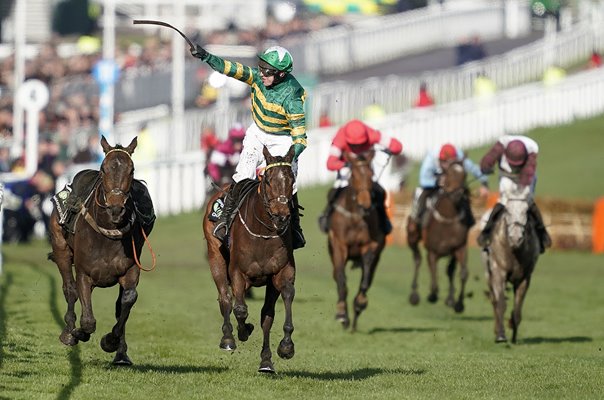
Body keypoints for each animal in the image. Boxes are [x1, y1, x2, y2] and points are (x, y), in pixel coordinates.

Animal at [48, 137, 155, 366]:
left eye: (131, 170)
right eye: (104, 169)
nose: (116, 208)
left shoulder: (130, 270)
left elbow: (127, 300)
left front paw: (112, 342)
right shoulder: (84, 273)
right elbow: (87, 320)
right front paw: (78, 332)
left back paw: (121, 354)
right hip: (61, 248)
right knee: (69, 289)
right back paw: (68, 332)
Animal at [203, 145, 298, 374]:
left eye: (291, 180)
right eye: (268, 180)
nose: (282, 216)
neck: (263, 232)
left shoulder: (281, 272)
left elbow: (280, 303)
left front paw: (284, 347)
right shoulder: (238, 272)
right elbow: (239, 309)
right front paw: (243, 331)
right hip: (215, 257)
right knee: (225, 297)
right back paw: (228, 337)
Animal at [326, 149, 386, 332]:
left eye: (371, 174)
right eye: (353, 175)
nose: (365, 204)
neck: (355, 216)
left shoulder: (370, 246)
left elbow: (365, 282)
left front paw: (359, 304)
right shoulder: (339, 245)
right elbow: (341, 279)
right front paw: (342, 314)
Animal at [406, 161, 472, 314]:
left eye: (464, 174)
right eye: (448, 173)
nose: (458, 194)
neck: (448, 218)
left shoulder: (459, 248)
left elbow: (463, 273)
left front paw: (459, 304)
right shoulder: (433, 252)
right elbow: (433, 272)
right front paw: (432, 295)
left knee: (450, 270)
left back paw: (450, 298)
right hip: (412, 235)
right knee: (417, 260)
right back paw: (414, 295)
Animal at [484, 184, 540, 344]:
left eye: (526, 211)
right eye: (508, 211)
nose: (516, 238)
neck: (514, 250)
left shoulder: (524, 278)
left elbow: (517, 309)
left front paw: (513, 332)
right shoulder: (498, 272)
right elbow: (501, 304)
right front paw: (501, 335)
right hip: (488, 275)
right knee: (494, 301)